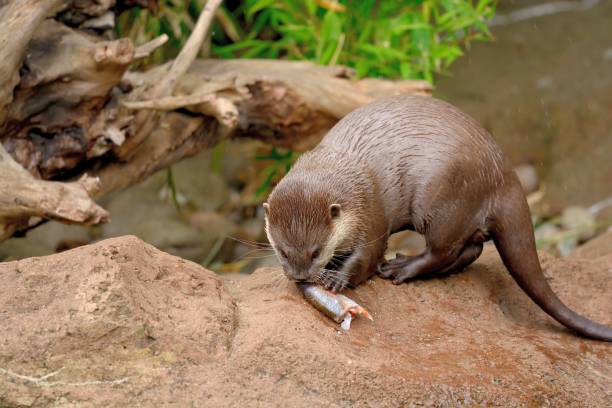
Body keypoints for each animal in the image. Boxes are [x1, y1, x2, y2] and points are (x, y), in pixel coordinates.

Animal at [264, 95, 612, 342]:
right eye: (282, 251)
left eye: (316, 251)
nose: (299, 277)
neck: (348, 172)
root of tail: (502, 174)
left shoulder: (370, 212)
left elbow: (369, 255)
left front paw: (337, 279)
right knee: (471, 249)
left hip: (443, 199)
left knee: (442, 249)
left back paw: (402, 268)